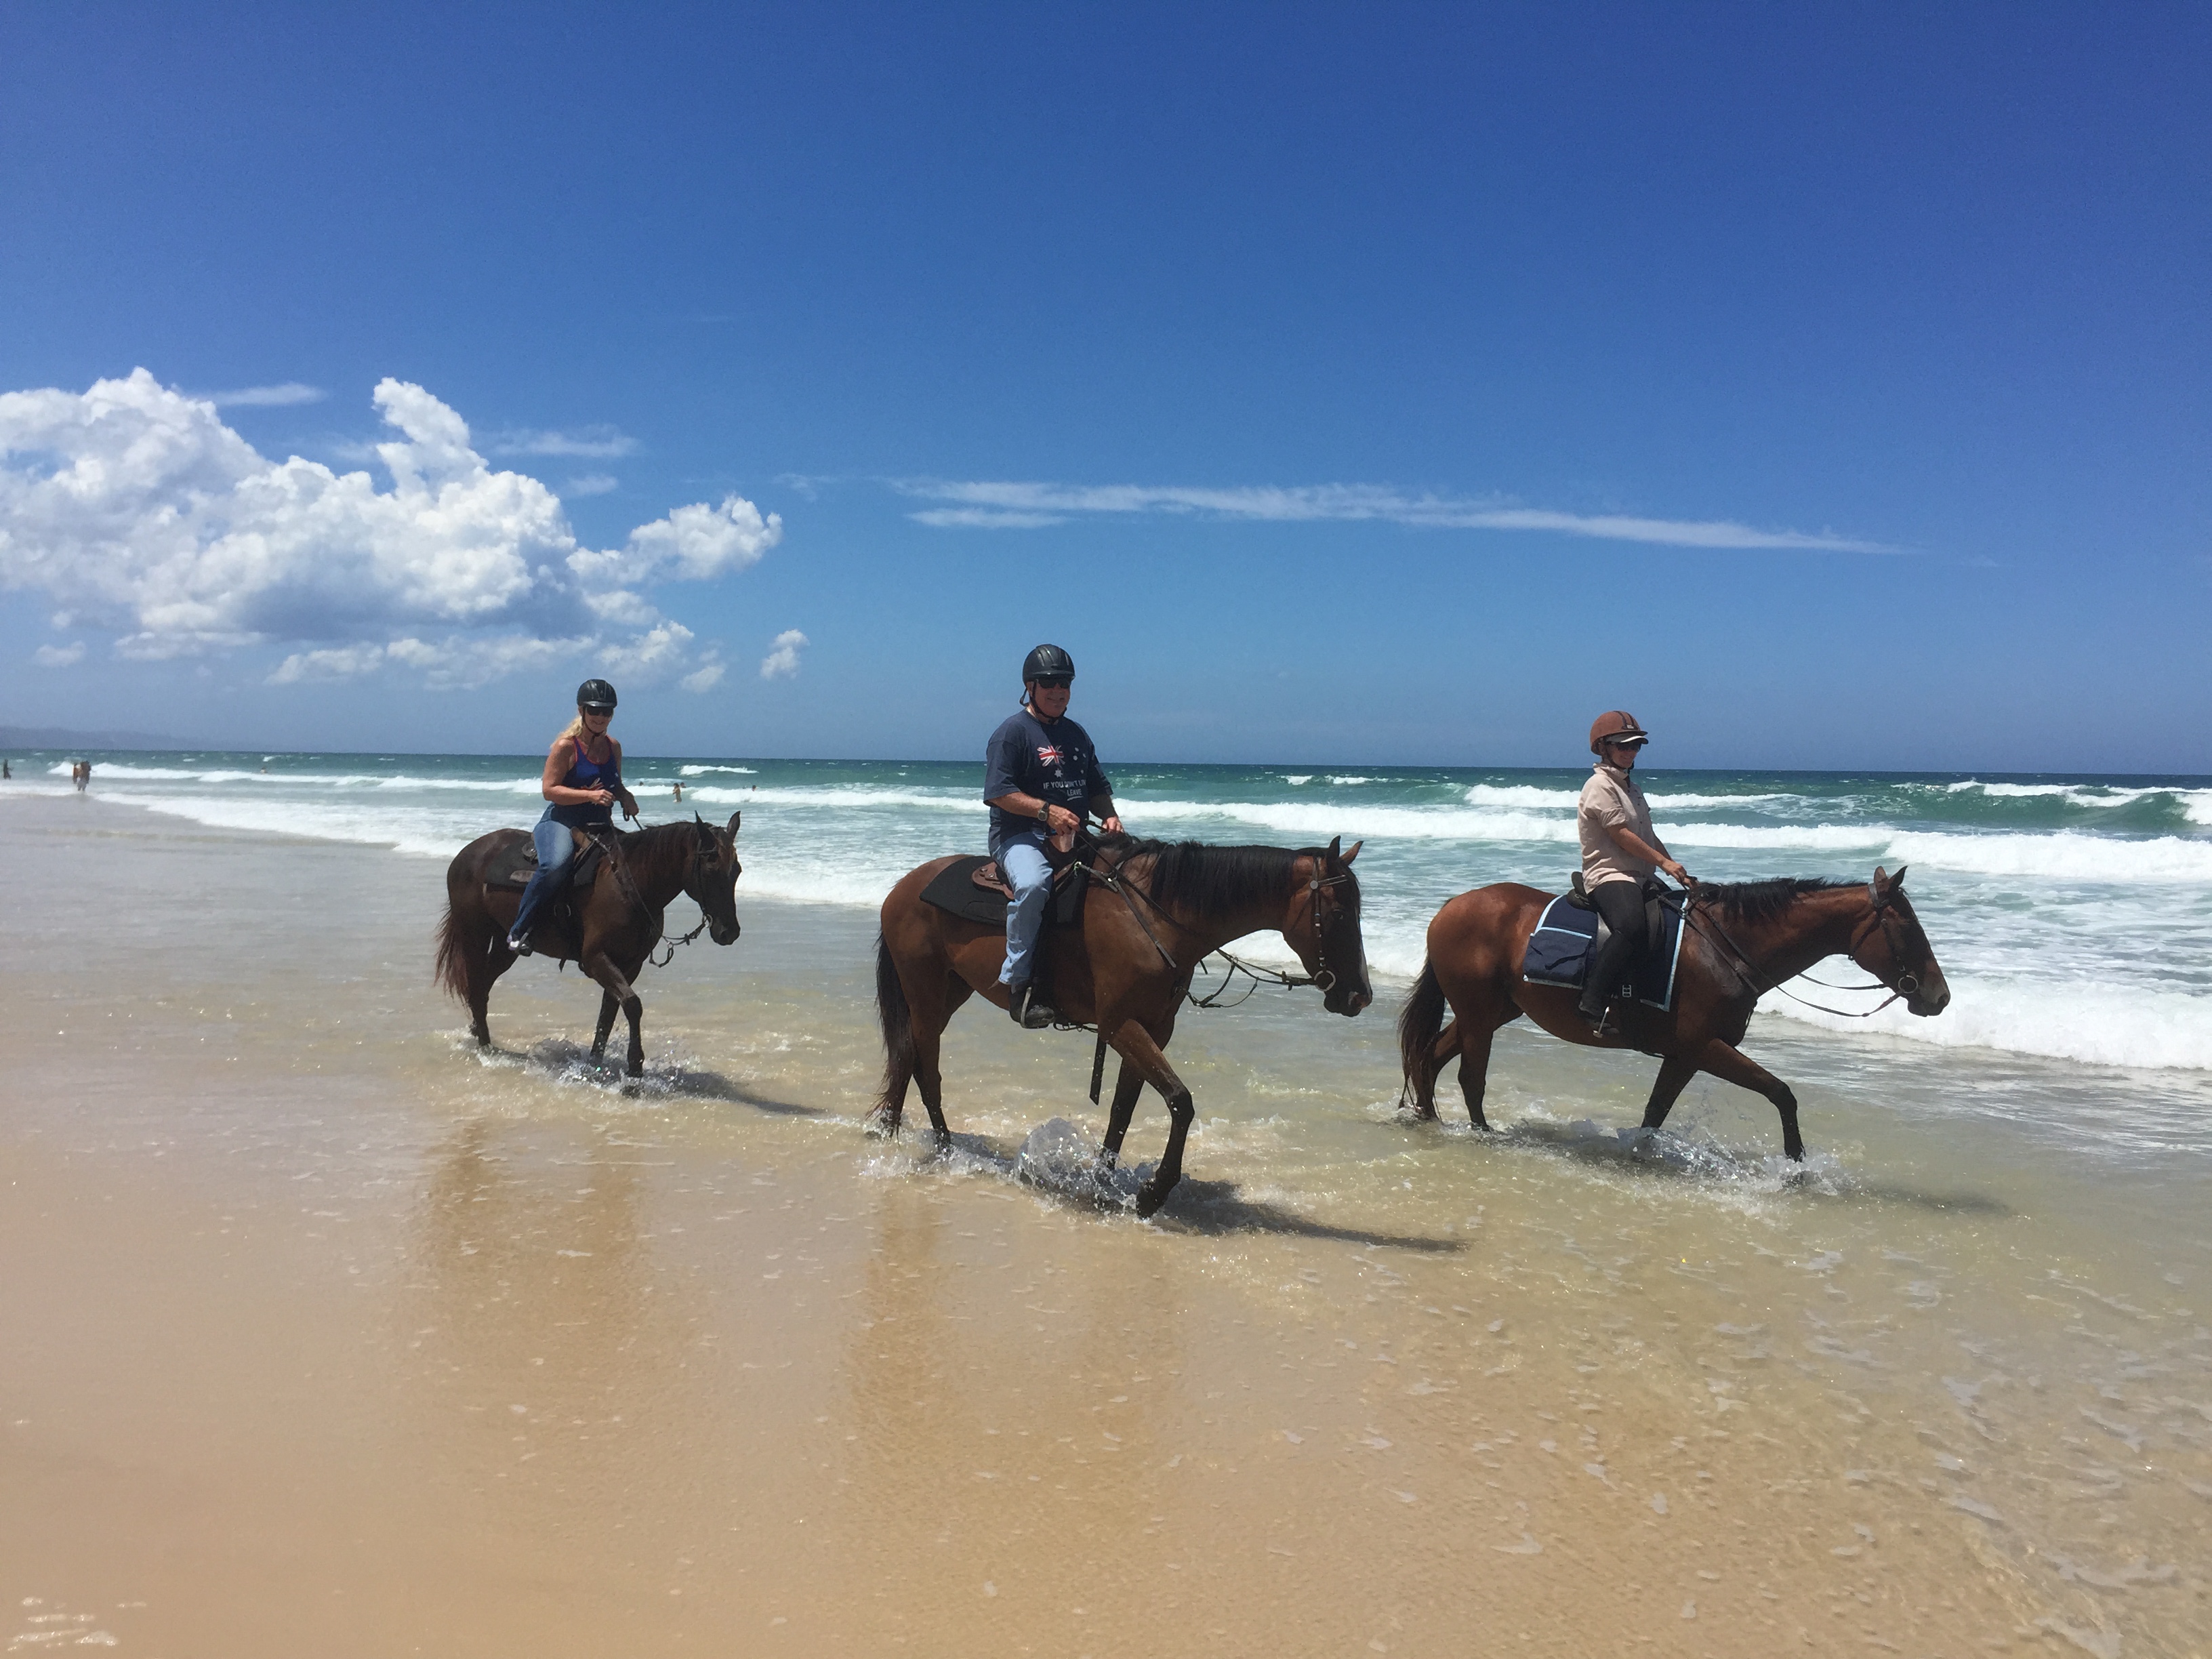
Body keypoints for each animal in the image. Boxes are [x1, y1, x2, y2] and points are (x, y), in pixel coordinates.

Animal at [436, 814, 747, 1079]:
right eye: (710, 869)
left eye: (737, 871)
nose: (729, 932)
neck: (630, 883)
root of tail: (467, 852)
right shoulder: (596, 959)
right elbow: (632, 1005)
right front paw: (634, 1070)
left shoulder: (629, 965)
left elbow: (608, 1016)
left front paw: (595, 1067)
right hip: (474, 934)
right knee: (475, 984)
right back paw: (485, 1048)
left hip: (504, 944)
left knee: (483, 985)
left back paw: (481, 1036)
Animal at [876, 836, 1362, 1212]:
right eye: (1340, 914)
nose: (1359, 996)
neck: (1155, 918)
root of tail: (904, 886)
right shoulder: (1119, 1023)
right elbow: (1181, 1101)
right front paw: (1153, 1194)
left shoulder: (1153, 1028)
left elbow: (1124, 1109)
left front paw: (1103, 1184)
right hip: (924, 992)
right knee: (925, 1068)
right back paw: (944, 1150)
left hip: (950, 992)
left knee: (908, 1056)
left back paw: (888, 1130)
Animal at [1397, 862, 1955, 1159]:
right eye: (1908, 928)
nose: (1940, 997)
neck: (1723, 949)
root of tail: (1450, 907)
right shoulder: (1703, 1047)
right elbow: (1782, 1093)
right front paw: (1797, 1166)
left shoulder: (1685, 1055)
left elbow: (1655, 1112)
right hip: (1479, 1013)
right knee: (1468, 1075)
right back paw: (1480, 1134)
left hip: (1492, 1011)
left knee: (1431, 1057)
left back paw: (1432, 1119)